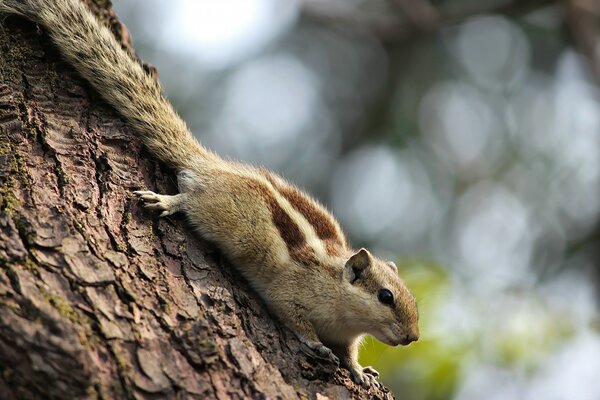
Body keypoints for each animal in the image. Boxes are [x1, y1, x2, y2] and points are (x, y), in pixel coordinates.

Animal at [0, 0, 420, 388]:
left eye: (409, 298)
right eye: (385, 297)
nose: (413, 337)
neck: (339, 296)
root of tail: (209, 166)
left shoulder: (347, 337)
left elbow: (348, 355)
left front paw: (361, 372)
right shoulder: (292, 293)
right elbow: (295, 318)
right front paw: (314, 344)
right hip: (222, 214)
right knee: (192, 198)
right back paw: (168, 201)